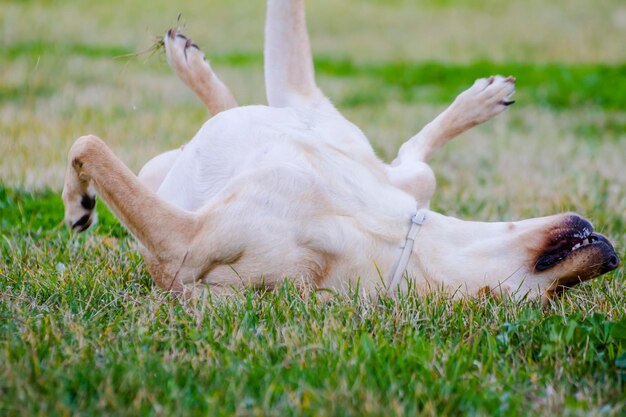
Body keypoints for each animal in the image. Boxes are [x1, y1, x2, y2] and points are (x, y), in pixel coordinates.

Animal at [61, 0, 616, 300]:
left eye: (549, 300)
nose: (612, 259)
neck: (389, 232)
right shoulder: (316, 113)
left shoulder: (184, 246)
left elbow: (88, 144)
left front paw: (77, 202)